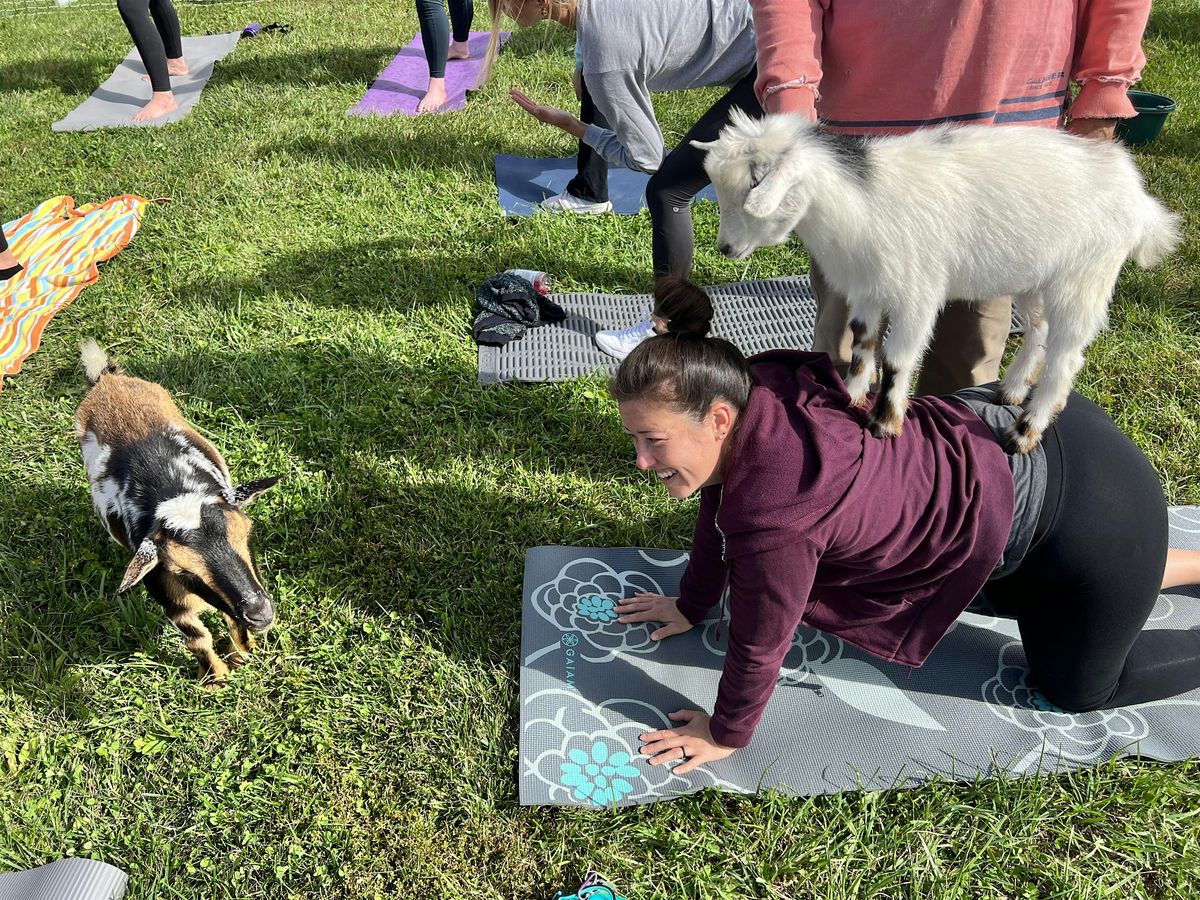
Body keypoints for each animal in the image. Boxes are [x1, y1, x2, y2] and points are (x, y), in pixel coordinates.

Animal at [75, 340, 283, 686]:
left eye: (247, 533)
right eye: (181, 570)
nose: (260, 614)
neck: (169, 486)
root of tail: (107, 379)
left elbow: (231, 621)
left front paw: (242, 654)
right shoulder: (167, 592)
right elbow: (197, 638)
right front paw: (215, 679)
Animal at [696, 110, 1180, 453]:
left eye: (753, 187)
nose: (725, 249)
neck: (864, 202)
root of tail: (1139, 200)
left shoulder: (917, 292)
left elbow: (896, 359)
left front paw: (884, 424)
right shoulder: (869, 288)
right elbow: (862, 344)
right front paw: (849, 394)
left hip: (1084, 279)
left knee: (1066, 358)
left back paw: (1025, 431)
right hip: (1035, 277)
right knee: (1039, 329)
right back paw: (1011, 390)